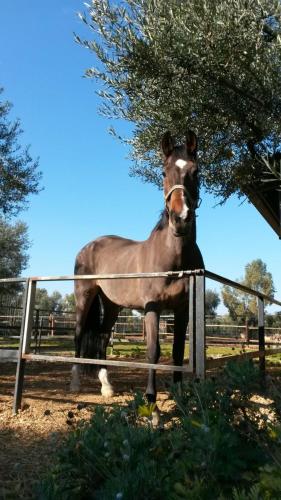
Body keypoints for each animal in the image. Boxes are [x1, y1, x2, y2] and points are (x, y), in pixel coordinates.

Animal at [71, 129, 202, 418]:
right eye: (164, 172)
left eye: (196, 171)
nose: (180, 219)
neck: (174, 259)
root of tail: (89, 245)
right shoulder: (152, 309)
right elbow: (153, 352)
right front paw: (152, 405)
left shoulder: (182, 310)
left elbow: (178, 352)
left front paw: (180, 398)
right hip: (84, 297)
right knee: (78, 333)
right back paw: (75, 382)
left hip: (111, 305)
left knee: (103, 337)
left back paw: (107, 386)